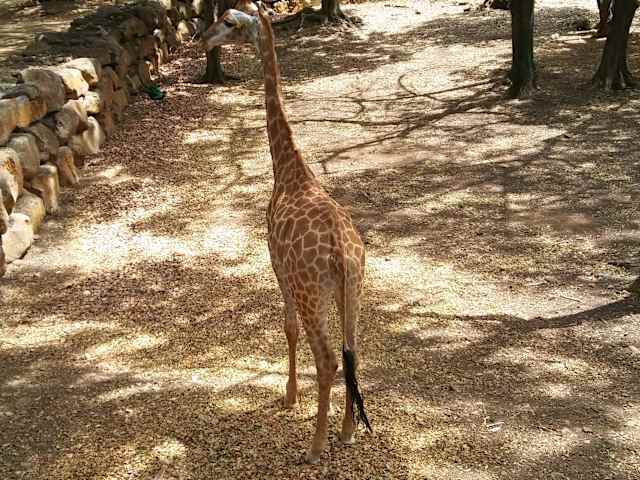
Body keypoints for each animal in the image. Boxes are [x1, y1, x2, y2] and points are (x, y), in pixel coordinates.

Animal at [202, 4, 372, 464]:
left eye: (228, 22)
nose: (203, 39)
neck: (290, 169)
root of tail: (341, 253)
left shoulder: (275, 263)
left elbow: (287, 328)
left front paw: (289, 395)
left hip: (311, 289)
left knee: (329, 358)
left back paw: (315, 446)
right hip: (352, 288)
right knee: (352, 350)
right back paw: (347, 432)